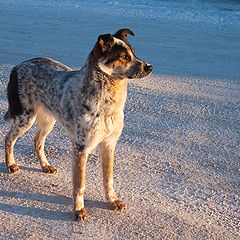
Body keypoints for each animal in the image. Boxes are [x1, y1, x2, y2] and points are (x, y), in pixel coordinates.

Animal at [3, 29, 152, 222]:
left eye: (134, 53)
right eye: (124, 56)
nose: (150, 67)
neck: (108, 102)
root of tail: (18, 65)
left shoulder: (109, 145)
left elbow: (108, 179)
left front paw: (112, 200)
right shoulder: (81, 148)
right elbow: (79, 184)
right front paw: (78, 209)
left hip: (48, 120)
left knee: (37, 141)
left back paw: (45, 166)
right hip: (25, 118)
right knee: (8, 139)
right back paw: (10, 165)